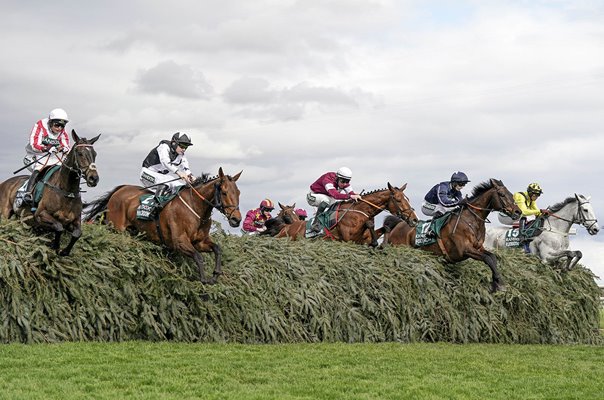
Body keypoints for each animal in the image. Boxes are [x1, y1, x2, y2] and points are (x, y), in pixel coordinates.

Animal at [83, 169, 243, 284]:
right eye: (224, 192)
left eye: (238, 192)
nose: (236, 219)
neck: (196, 207)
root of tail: (119, 190)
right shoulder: (179, 242)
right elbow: (198, 257)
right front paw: (204, 279)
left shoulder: (200, 242)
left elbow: (217, 249)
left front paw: (216, 274)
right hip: (116, 228)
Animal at [276, 183, 418, 245]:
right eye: (398, 200)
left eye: (407, 199)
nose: (415, 220)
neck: (360, 213)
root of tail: (285, 228)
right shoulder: (348, 239)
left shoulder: (363, 239)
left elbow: (384, 228)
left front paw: (381, 244)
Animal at [382, 180, 520, 292]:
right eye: (502, 194)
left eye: (510, 193)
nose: (518, 212)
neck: (471, 220)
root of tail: (397, 225)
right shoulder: (465, 250)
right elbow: (487, 259)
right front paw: (499, 284)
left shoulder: (478, 247)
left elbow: (492, 257)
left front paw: (497, 283)